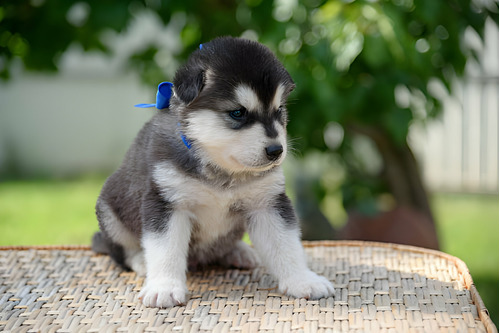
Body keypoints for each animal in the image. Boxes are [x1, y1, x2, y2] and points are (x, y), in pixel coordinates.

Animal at [94, 36, 336, 306]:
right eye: (238, 112)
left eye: (279, 110)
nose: (276, 151)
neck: (221, 169)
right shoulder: (167, 203)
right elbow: (165, 249)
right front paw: (164, 287)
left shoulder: (267, 203)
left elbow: (287, 245)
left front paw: (303, 280)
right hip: (108, 211)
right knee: (121, 251)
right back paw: (140, 261)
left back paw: (239, 252)